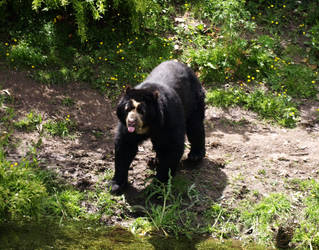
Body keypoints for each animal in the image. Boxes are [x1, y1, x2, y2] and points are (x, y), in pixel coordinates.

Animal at [109, 60, 205, 193]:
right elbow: (125, 146)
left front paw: (157, 187)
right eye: (127, 108)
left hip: (195, 99)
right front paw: (115, 185)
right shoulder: (125, 127)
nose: (131, 122)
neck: (149, 125)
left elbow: (171, 148)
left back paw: (195, 156)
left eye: (142, 111)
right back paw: (155, 160)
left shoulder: (170, 118)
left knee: (195, 125)